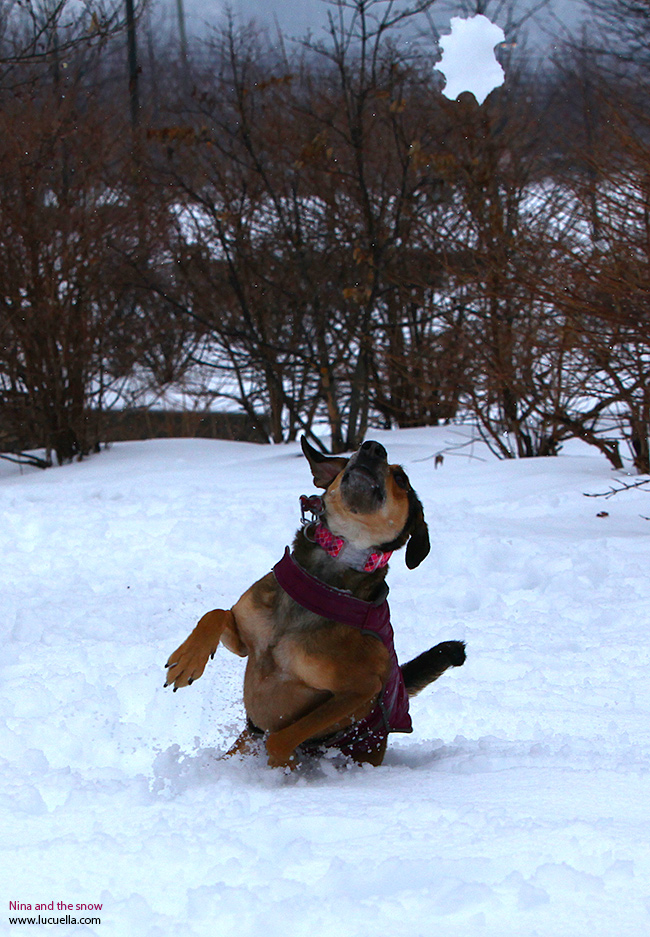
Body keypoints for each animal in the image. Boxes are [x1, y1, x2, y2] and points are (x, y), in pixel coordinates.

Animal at [165, 438, 464, 768]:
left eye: (401, 479)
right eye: (351, 456)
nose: (373, 447)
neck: (326, 574)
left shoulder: (360, 687)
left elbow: (281, 739)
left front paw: (283, 767)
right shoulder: (247, 640)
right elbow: (215, 613)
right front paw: (186, 661)